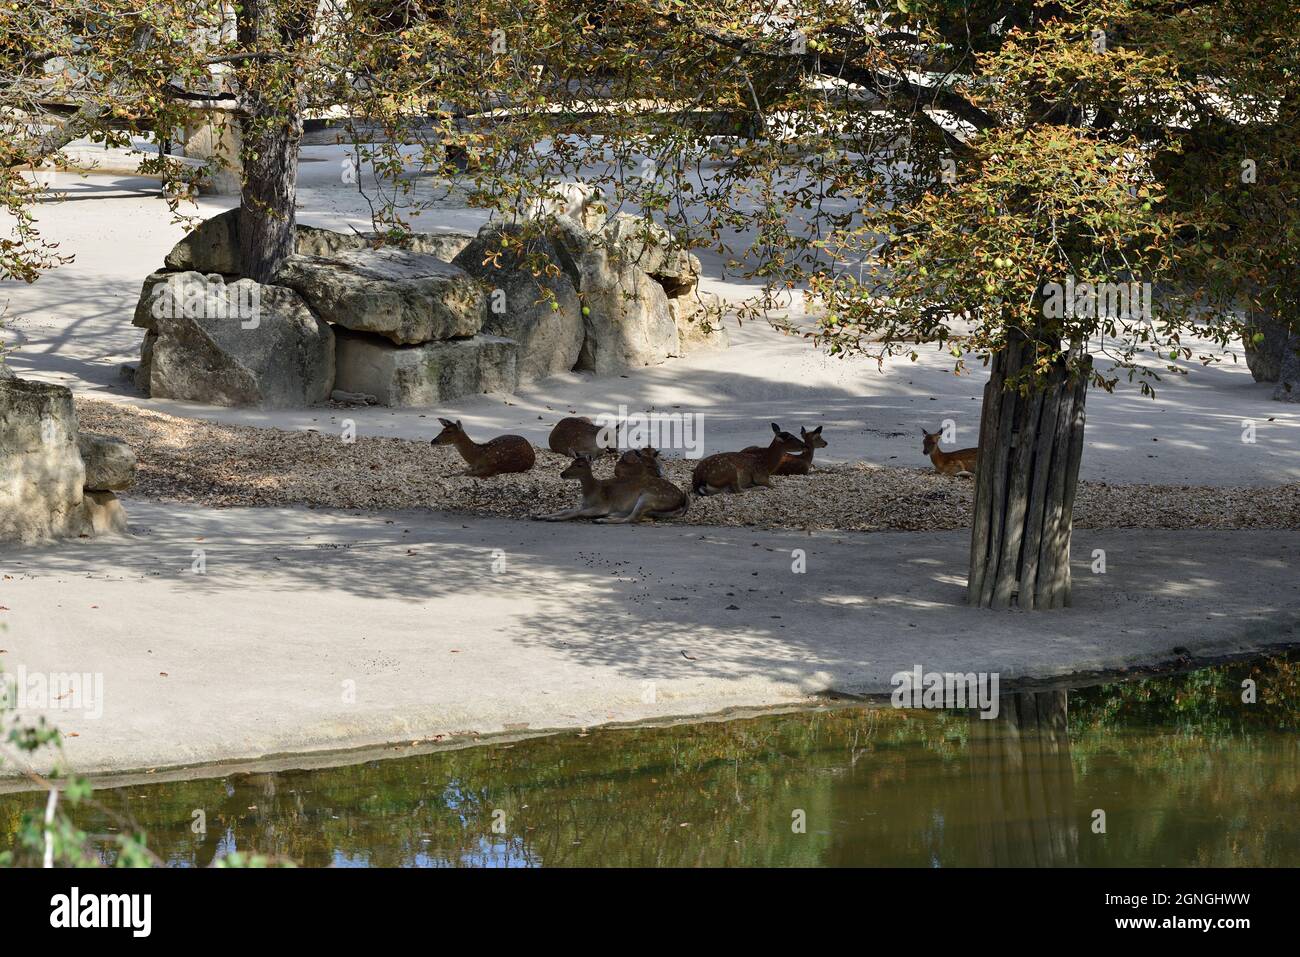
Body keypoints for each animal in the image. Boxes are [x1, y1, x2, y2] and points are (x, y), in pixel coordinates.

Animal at [535, 449, 691, 522]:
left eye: (579, 465)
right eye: (571, 462)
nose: (562, 474)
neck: (592, 491)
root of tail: (681, 498)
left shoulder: (602, 505)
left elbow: (576, 513)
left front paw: (553, 518)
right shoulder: (583, 505)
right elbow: (565, 510)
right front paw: (542, 516)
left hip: (650, 496)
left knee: (633, 518)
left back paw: (602, 520)